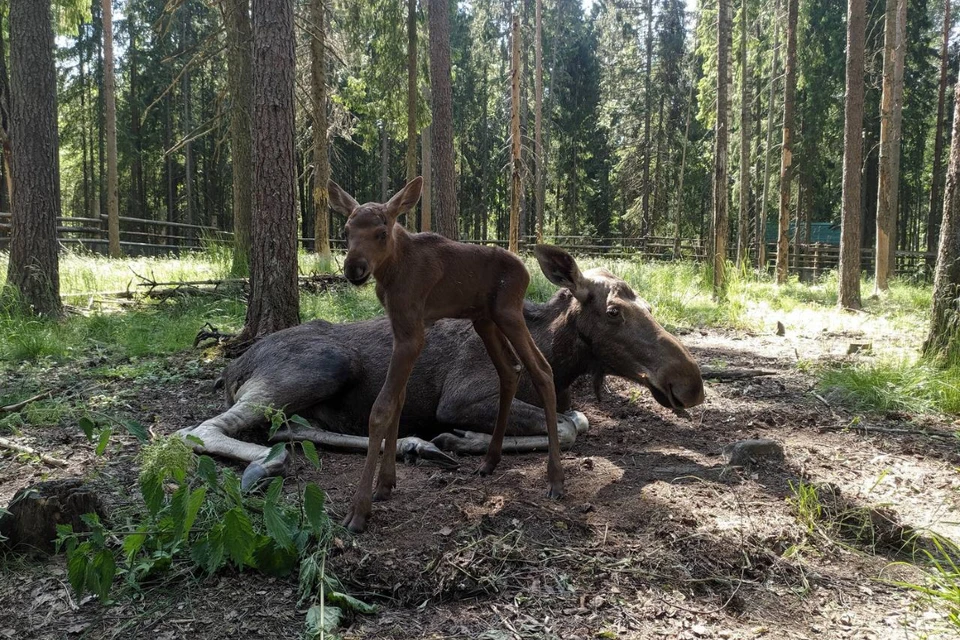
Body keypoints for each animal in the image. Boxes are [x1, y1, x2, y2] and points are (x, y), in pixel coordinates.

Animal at [178, 245, 704, 504]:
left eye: (649, 305)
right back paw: (266, 464)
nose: (691, 383)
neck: (559, 358)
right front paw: (465, 439)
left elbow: (579, 419)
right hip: (320, 365)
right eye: (613, 311)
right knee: (196, 431)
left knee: (290, 428)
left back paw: (414, 444)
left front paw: (460, 442)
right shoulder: (462, 396)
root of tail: (233, 366)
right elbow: (572, 425)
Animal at [328, 178, 560, 532]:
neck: (391, 271)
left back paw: (555, 478)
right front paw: (385, 484)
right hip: (485, 320)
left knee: (542, 370)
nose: (354, 268)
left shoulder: (412, 334)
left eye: (381, 232)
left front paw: (359, 509)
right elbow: (399, 401)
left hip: (508, 313)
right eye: (346, 230)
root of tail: (527, 271)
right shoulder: (401, 330)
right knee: (511, 370)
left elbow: (381, 409)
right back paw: (490, 460)